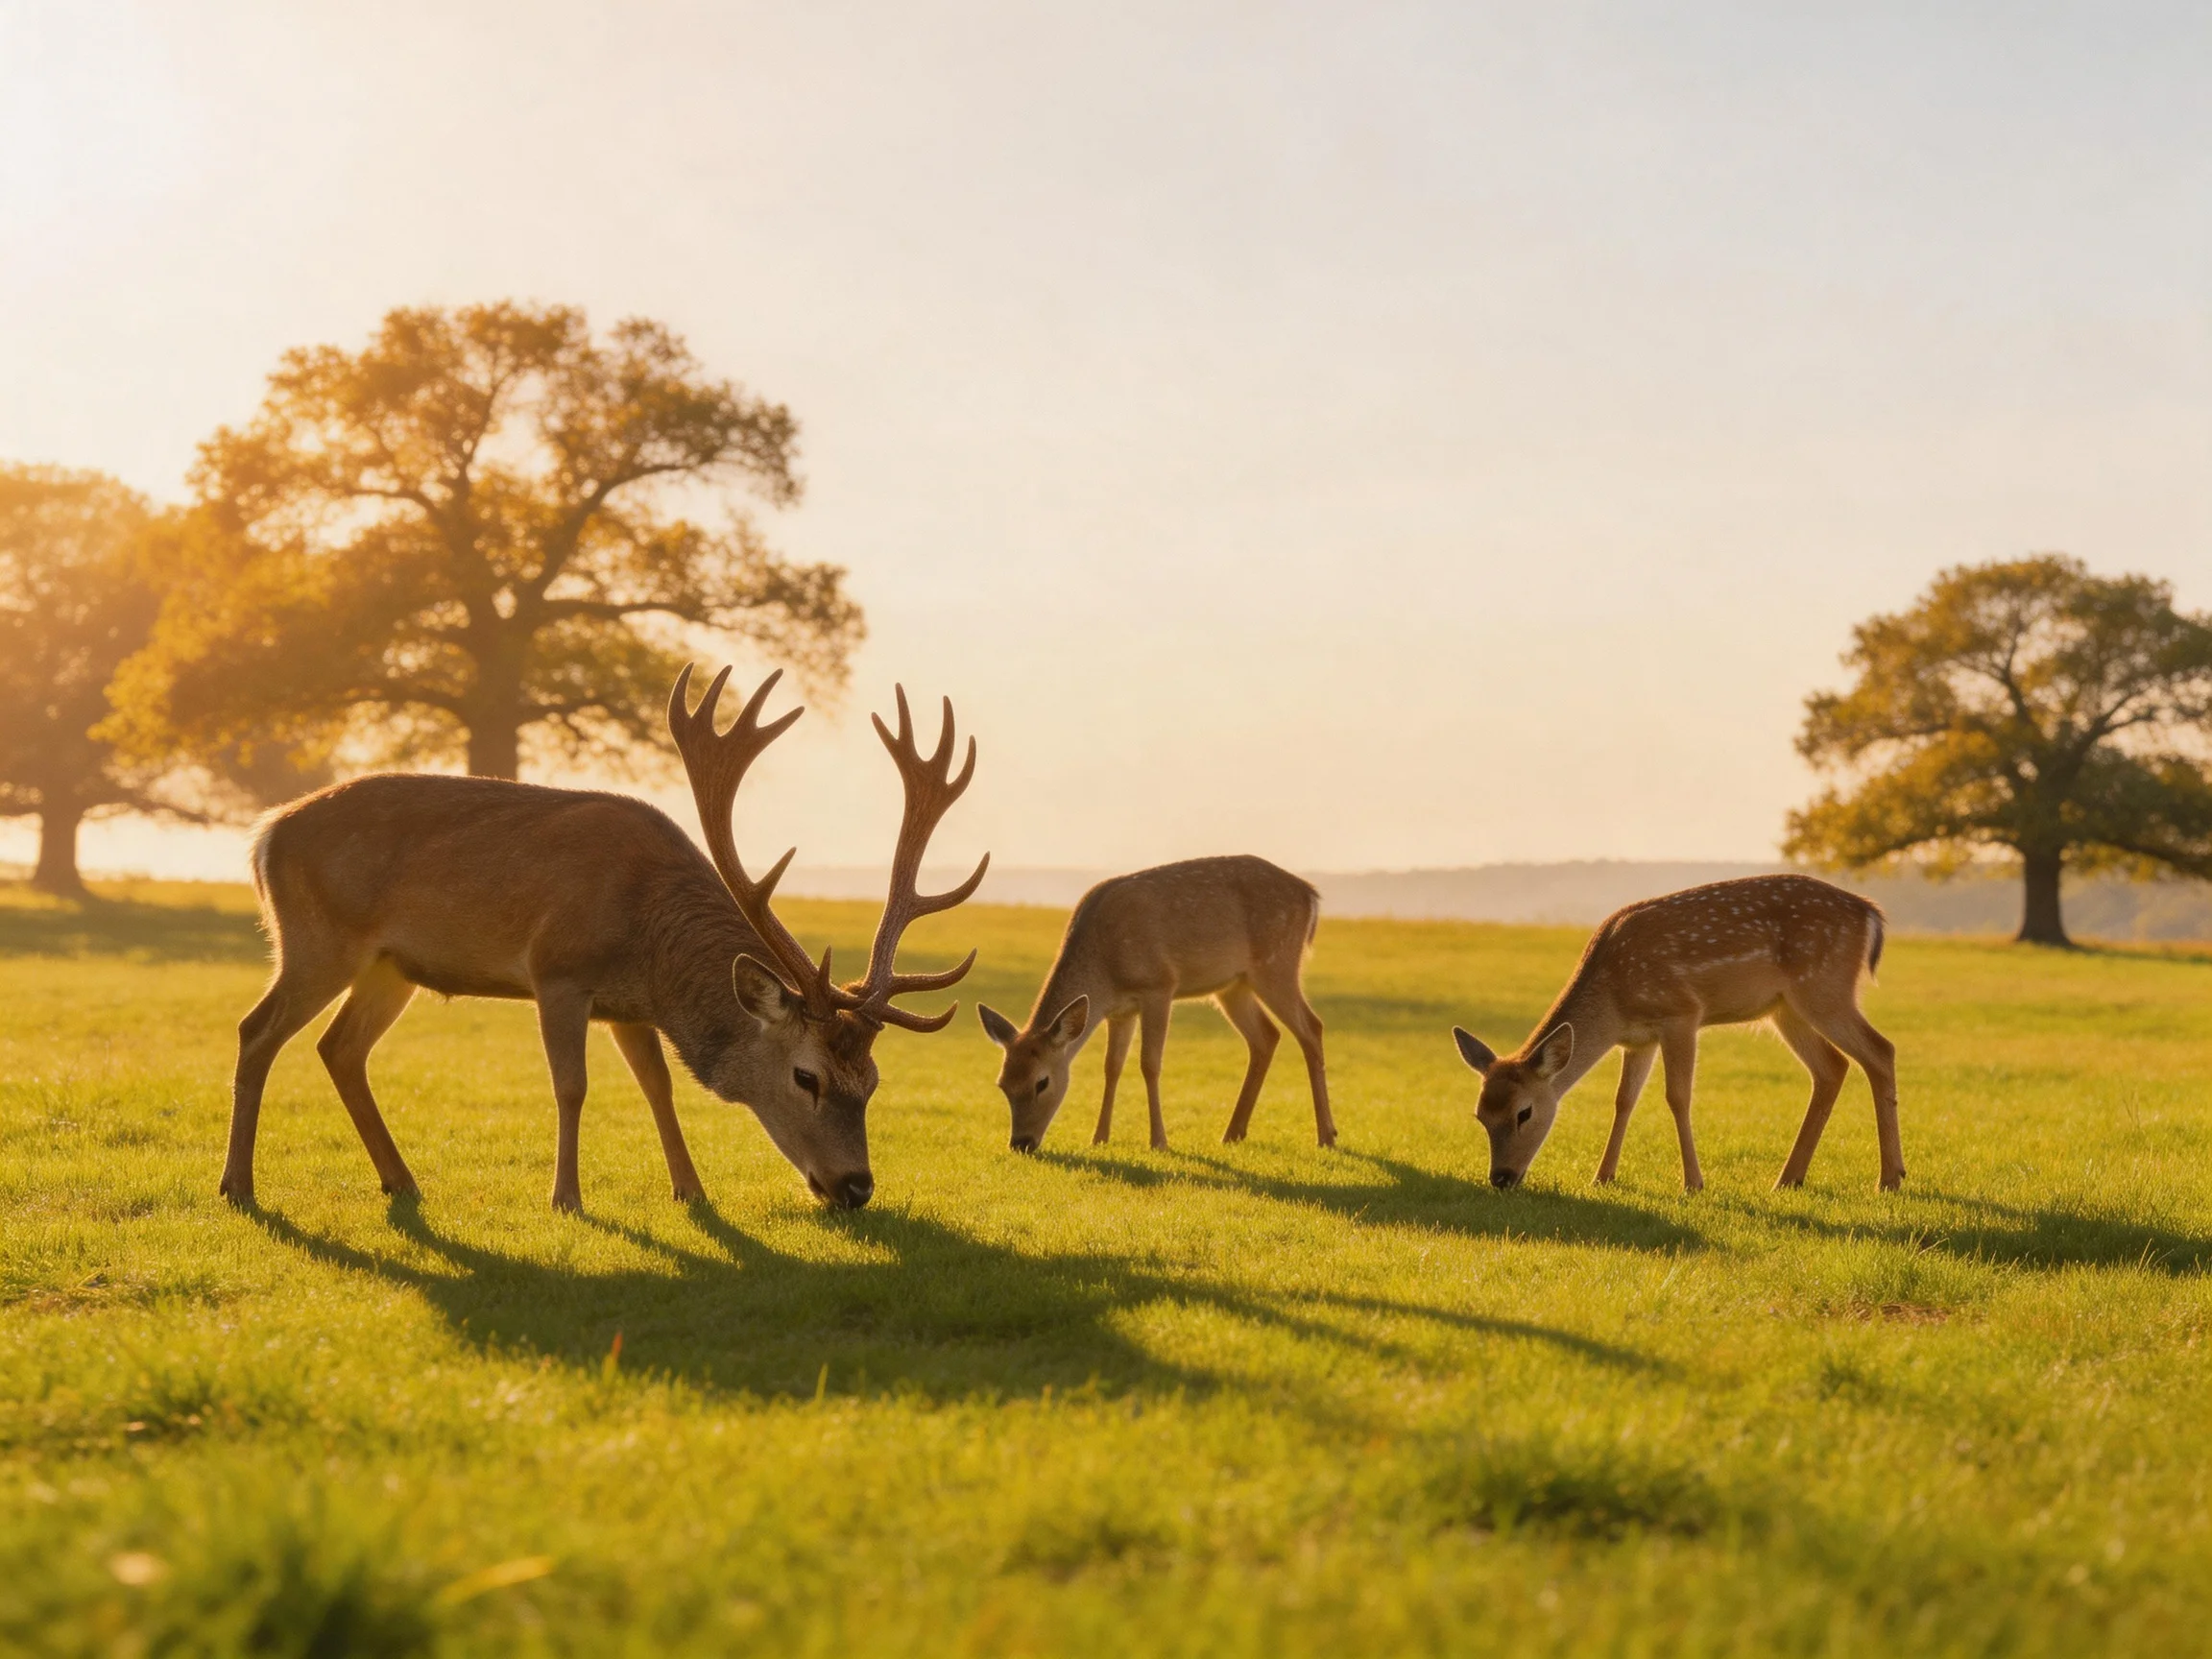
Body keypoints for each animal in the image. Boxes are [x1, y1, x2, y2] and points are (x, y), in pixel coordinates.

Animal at [217, 665, 986, 1214]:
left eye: (873, 1081)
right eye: (807, 1077)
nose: (857, 1187)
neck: (649, 943)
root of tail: (264, 835)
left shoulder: (628, 1007)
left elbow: (658, 1087)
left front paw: (692, 1191)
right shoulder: (558, 970)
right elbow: (572, 1085)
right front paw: (567, 1198)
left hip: (390, 967)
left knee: (339, 1047)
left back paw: (400, 1181)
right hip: (316, 938)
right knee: (257, 1029)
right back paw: (237, 1185)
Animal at [976, 855, 1335, 1153]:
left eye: (1042, 1082)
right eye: (1003, 1084)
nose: (1021, 1143)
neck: (1105, 971)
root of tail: (1311, 895)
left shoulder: (1159, 986)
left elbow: (1149, 1063)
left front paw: (1159, 1142)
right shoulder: (1119, 1010)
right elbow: (1112, 1066)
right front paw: (1099, 1138)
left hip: (1277, 963)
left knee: (1311, 1027)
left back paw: (1326, 1135)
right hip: (1234, 985)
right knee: (1266, 1036)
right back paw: (1233, 1133)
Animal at [1450, 874, 1903, 1193]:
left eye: (1524, 1112)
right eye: (1480, 1115)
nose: (1501, 1178)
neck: (1614, 1001)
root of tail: (1871, 914)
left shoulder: (1681, 1014)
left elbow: (1678, 1096)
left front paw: (1693, 1183)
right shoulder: (1638, 1039)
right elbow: (1624, 1100)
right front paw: (1603, 1176)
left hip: (1824, 987)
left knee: (1880, 1050)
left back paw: (1889, 1178)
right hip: (1785, 1009)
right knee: (1832, 1067)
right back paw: (1789, 1178)